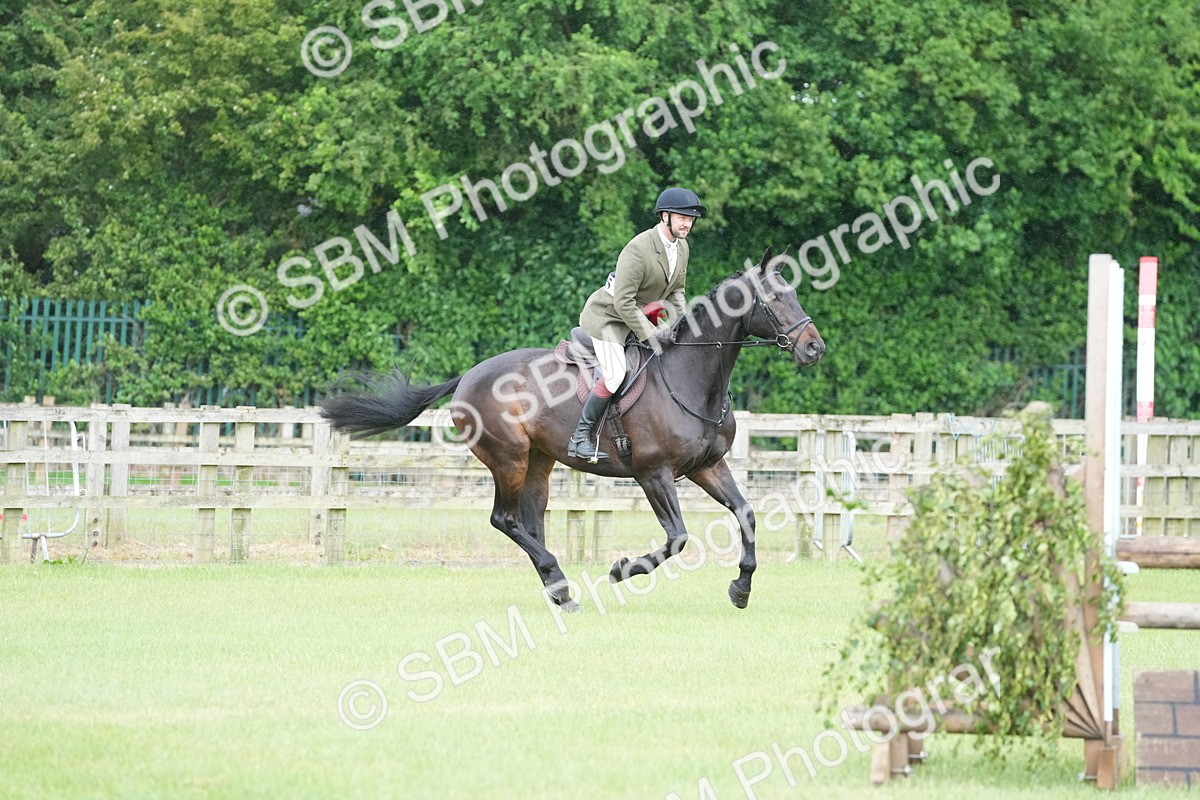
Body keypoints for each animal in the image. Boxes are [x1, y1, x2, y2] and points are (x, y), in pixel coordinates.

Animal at [319, 247, 825, 611]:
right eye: (776, 299)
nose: (814, 348)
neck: (690, 377)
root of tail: (467, 377)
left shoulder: (708, 466)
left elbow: (746, 514)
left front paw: (741, 588)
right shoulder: (653, 474)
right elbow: (678, 537)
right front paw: (623, 569)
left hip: (539, 461)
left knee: (530, 520)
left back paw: (558, 588)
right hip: (508, 458)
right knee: (504, 519)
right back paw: (560, 584)